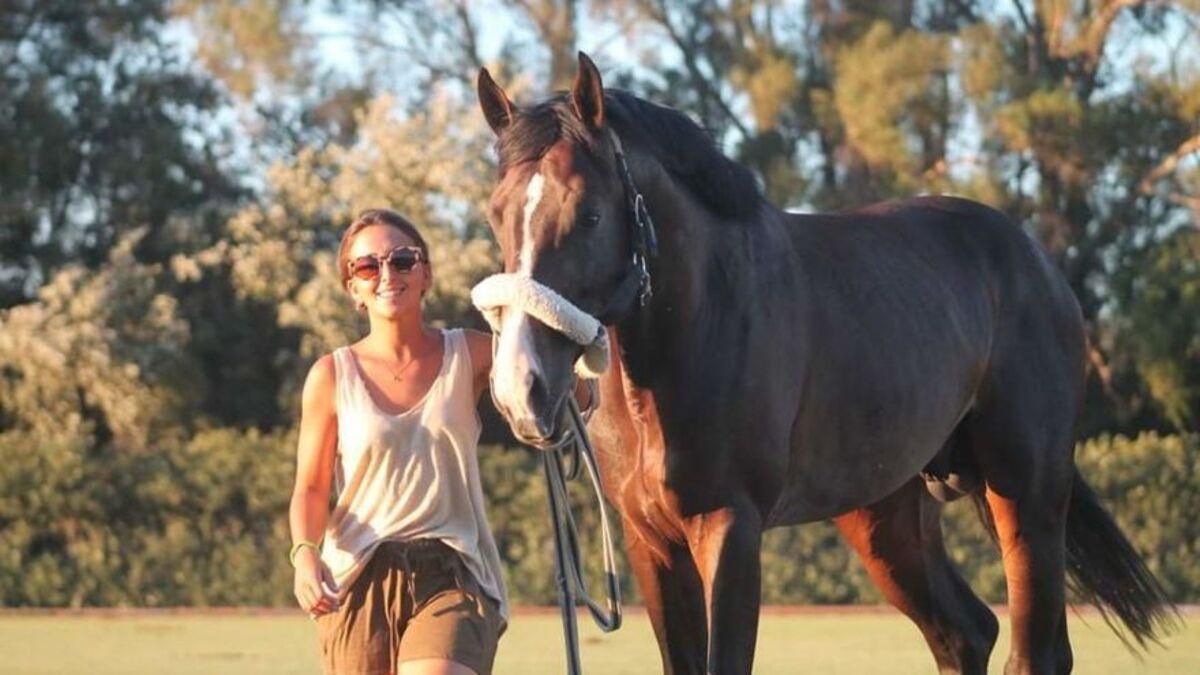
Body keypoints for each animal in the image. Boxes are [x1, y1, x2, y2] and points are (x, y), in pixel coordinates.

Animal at [470, 52, 1171, 672]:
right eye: (495, 213)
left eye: (589, 213)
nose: (520, 388)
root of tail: (1037, 263)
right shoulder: (652, 542)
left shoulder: (730, 528)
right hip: (886, 516)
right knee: (966, 633)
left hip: (1028, 494)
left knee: (1034, 653)